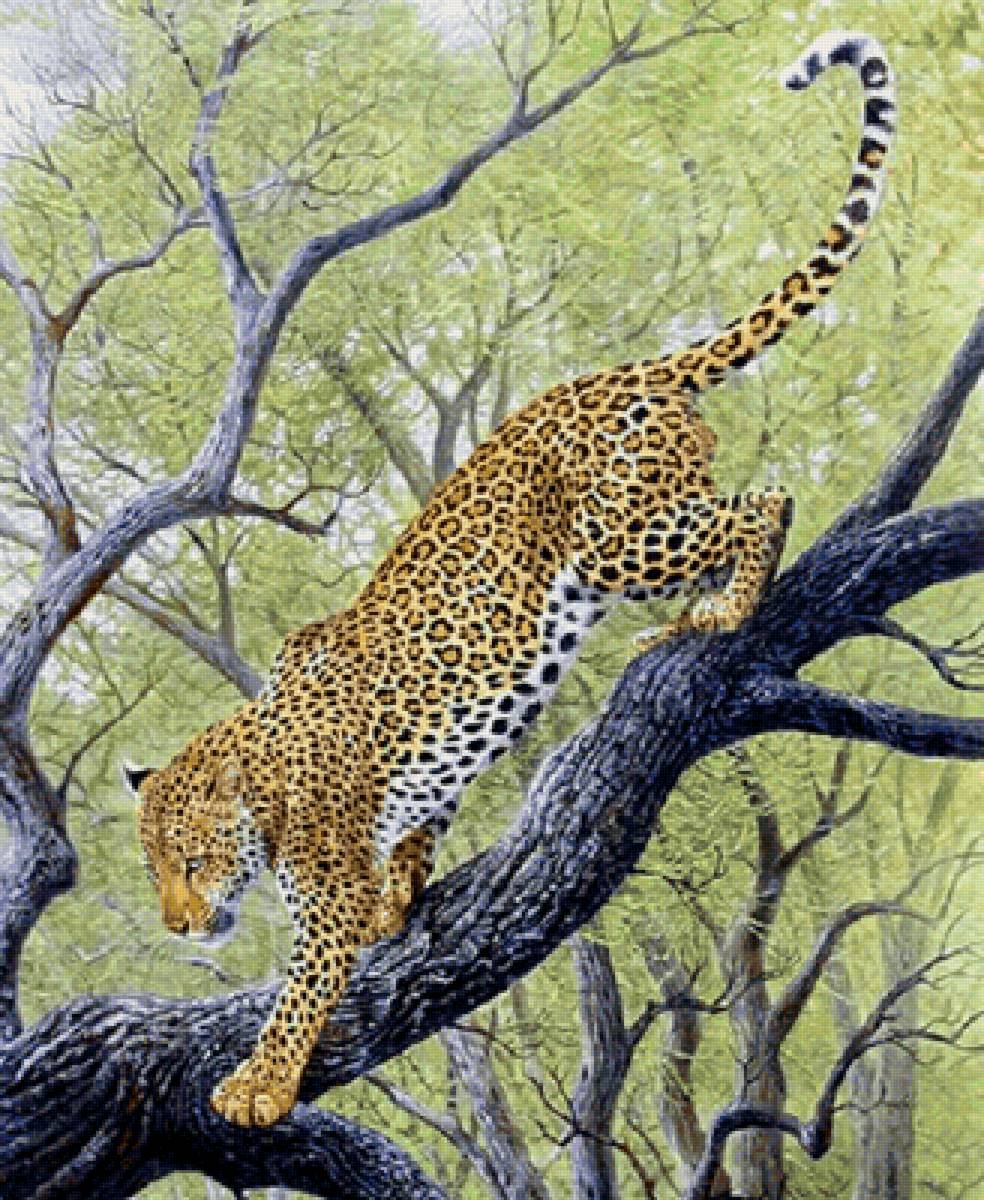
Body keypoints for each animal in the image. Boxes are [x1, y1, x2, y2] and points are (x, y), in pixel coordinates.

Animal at [127, 30, 896, 1128]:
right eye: (153, 867)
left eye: (191, 862)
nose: (180, 927)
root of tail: (627, 373)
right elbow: (413, 841)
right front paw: (401, 898)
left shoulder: (320, 887)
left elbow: (301, 986)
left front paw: (259, 1084)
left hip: (624, 538)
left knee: (767, 500)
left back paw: (722, 606)